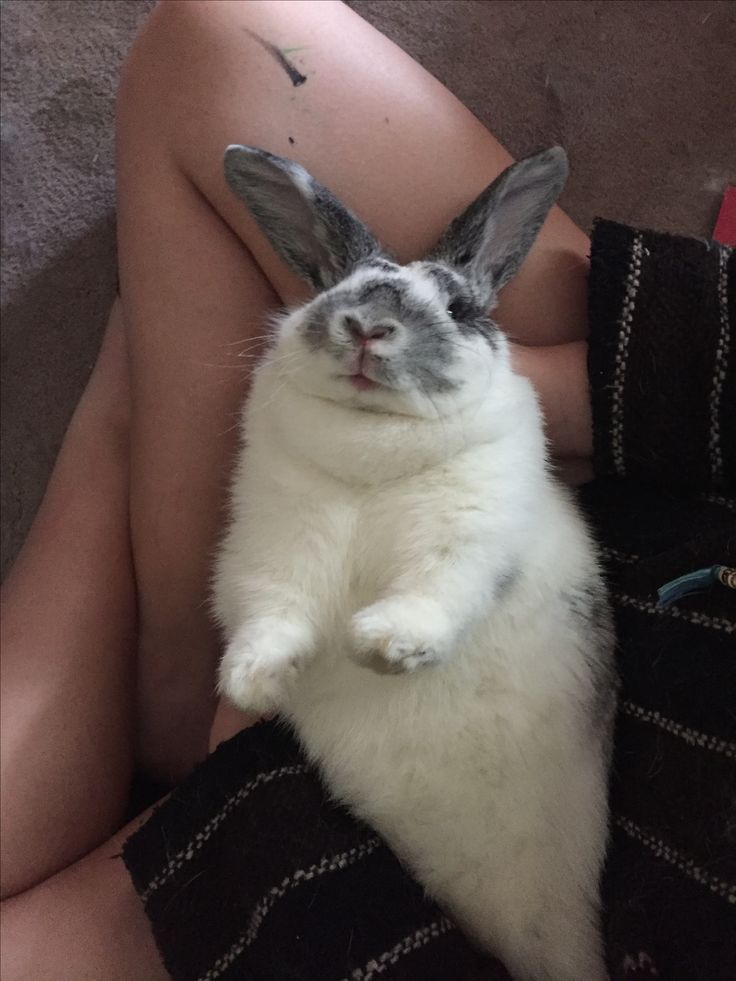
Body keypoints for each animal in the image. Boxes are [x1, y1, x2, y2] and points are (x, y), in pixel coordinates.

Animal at [213, 144, 616, 980]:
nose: (369, 327)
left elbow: (435, 589)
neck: (373, 443)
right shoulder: (273, 548)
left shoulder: (465, 539)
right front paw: (253, 683)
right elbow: (273, 613)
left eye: (459, 308)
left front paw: (384, 645)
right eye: (334, 289)